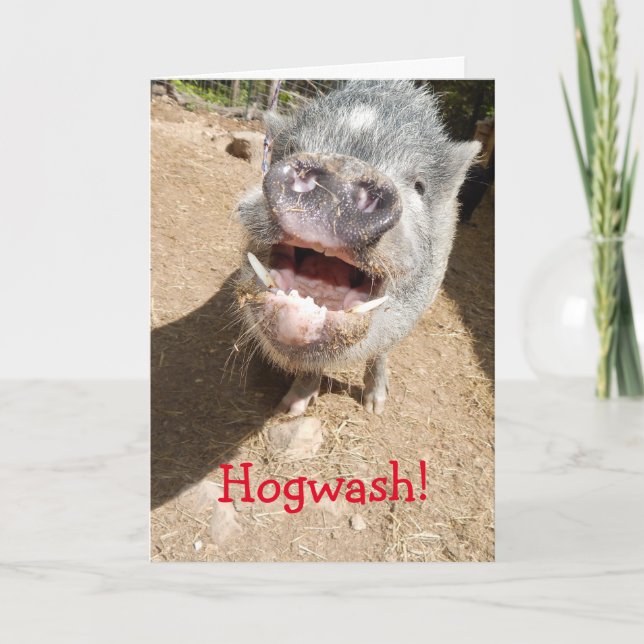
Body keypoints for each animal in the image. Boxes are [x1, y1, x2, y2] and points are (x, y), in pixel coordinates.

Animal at [235, 80, 480, 415]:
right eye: (291, 149)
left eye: (420, 186)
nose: (344, 169)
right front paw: (290, 410)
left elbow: (382, 350)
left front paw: (375, 408)